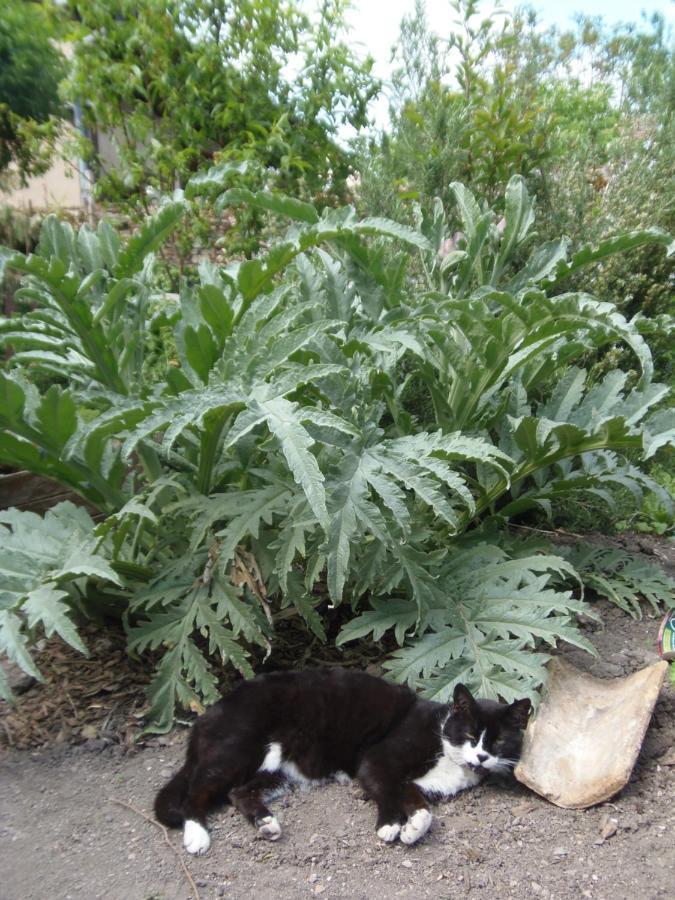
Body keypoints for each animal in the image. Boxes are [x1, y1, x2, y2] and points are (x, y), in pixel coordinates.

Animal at [156, 668, 532, 852]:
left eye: (498, 741)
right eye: (470, 734)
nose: (481, 756)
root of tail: (208, 713)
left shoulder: (415, 784)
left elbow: (419, 805)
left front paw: (413, 828)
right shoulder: (378, 760)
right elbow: (386, 791)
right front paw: (390, 826)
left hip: (279, 768)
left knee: (238, 791)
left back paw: (266, 823)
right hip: (239, 747)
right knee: (197, 790)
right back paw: (197, 835)